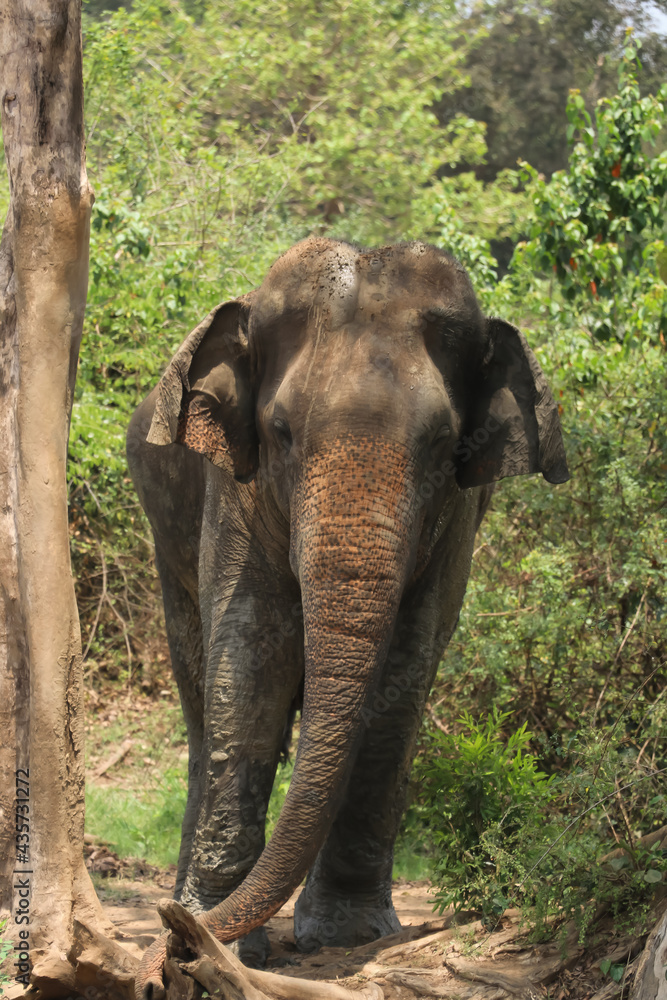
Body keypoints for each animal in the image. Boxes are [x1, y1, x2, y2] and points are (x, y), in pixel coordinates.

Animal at [127, 237, 568, 996]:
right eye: (280, 432)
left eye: (440, 441)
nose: (164, 959)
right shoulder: (232, 490)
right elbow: (249, 663)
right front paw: (233, 946)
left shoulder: (457, 514)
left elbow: (406, 669)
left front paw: (347, 936)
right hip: (165, 543)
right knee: (199, 694)